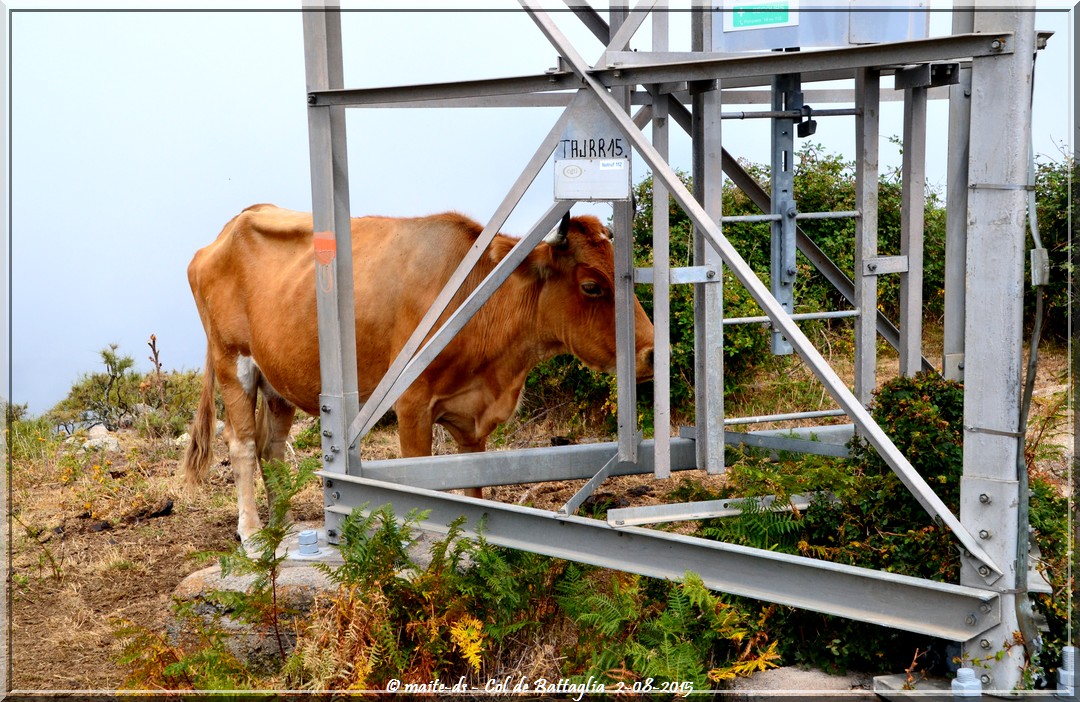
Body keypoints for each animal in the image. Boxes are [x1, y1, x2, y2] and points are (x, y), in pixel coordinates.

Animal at [181, 204, 652, 542]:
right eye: (591, 286)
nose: (650, 352)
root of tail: (233, 224)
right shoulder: (411, 405)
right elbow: (419, 481)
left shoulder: (471, 415)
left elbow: (474, 482)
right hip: (232, 361)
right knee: (243, 444)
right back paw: (251, 532)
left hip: (276, 379)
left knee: (271, 445)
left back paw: (280, 522)